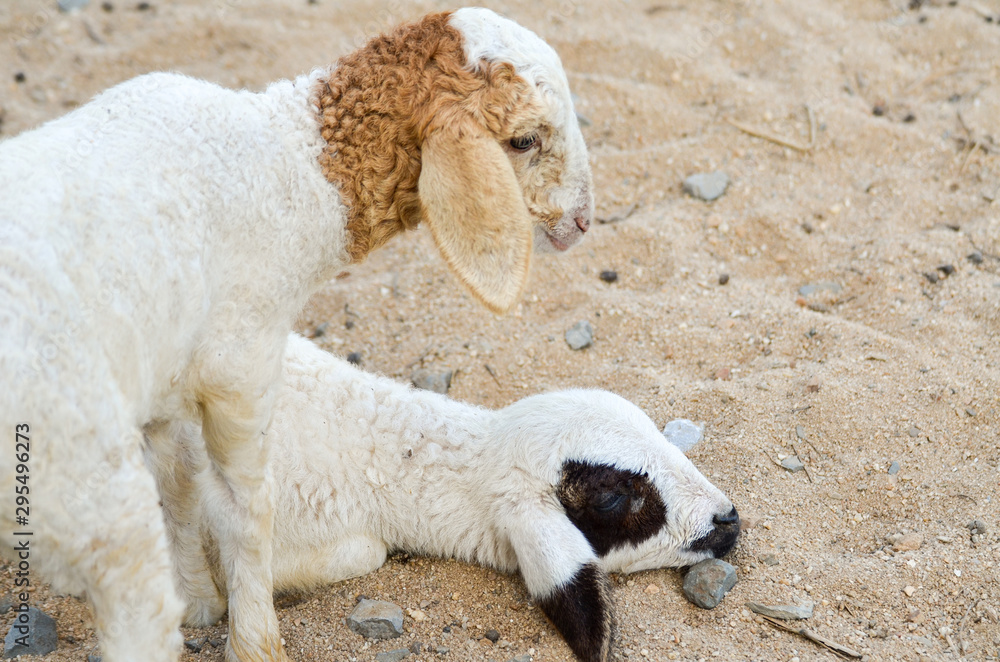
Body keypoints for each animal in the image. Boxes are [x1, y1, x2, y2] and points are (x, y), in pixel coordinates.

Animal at [0, 8, 593, 662]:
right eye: (524, 140)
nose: (584, 221)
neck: (290, 162)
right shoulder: (242, 363)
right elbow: (244, 507)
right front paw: (254, 640)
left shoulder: (166, 370)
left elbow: (178, 487)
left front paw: (199, 600)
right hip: (78, 465)